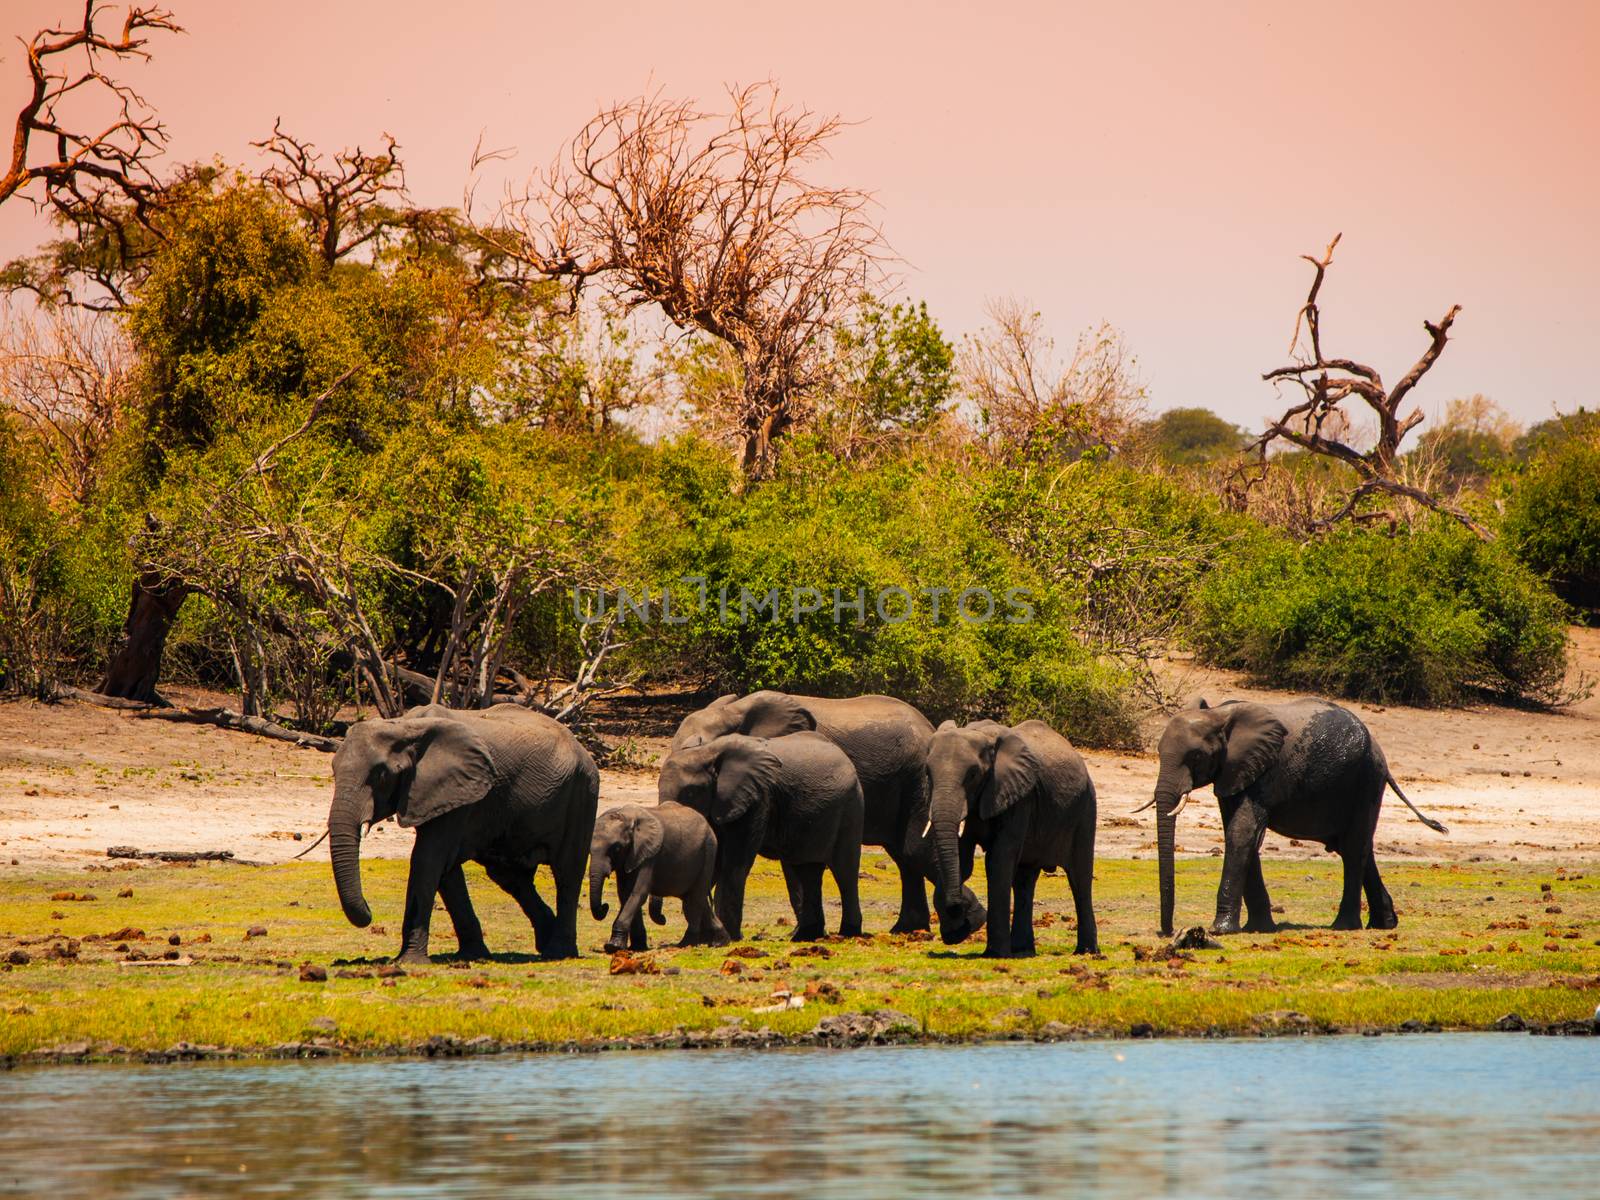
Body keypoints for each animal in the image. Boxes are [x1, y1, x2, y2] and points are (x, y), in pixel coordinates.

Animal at [329, 710, 601, 966]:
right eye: (333, 770)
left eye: (382, 775)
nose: (369, 910)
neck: (404, 725)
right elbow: (445, 870)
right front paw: (472, 955)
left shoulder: (458, 792)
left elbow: (428, 860)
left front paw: (409, 961)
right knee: (511, 877)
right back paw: (545, 941)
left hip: (582, 792)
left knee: (567, 874)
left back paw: (558, 952)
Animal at [585, 803, 729, 953]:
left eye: (617, 848)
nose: (605, 906)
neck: (627, 817)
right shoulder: (630, 857)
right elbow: (625, 894)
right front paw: (637, 947)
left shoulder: (649, 855)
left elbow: (638, 893)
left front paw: (613, 947)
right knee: (695, 898)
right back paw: (720, 942)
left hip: (709, 850)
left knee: (695, 898)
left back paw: (685, 944)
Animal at [668, 694, 979, 940]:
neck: (735, 710)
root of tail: (929, 726)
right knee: (904, 855)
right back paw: (908, 929)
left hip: (917, 779)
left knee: (913, 848)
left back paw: (966, 923)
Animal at [928, 720, 1100, 966]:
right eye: (927, 773)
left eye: (972, 775)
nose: (960, 910)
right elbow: (963, 858)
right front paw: (957, 932)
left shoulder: (1018, 797)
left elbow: (998, 861)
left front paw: (994, 954)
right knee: (1024, 880)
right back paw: (1023, 950)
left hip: (1085, 808)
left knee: (1079, 878)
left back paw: (1086, 952)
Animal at [1139, 700, 1452, 947]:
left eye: (1195, 756)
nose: (1168, 931)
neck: (1219, 714)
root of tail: (1379, 750)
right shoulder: (1233, 772)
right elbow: (1241, 834)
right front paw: (1259, 929)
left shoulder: (1264, 771)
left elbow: (1242, 832)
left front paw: (1222, 929)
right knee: (1359, 848)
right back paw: (1384, 924)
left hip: (1367, 779)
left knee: (1353, 849)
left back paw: (1344, 926)